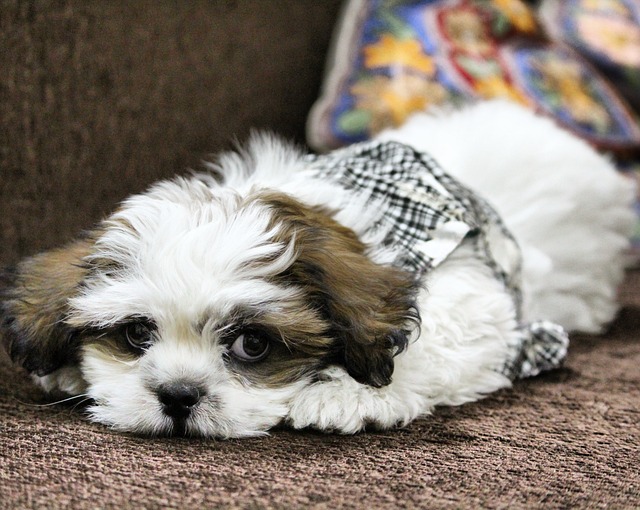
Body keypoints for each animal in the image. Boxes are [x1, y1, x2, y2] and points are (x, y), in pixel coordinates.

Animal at [0, 100, 632, 438]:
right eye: (135, 333)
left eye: (252, 344)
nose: (178, 396)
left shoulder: (475, 284)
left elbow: (433, 338)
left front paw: (346, 394)